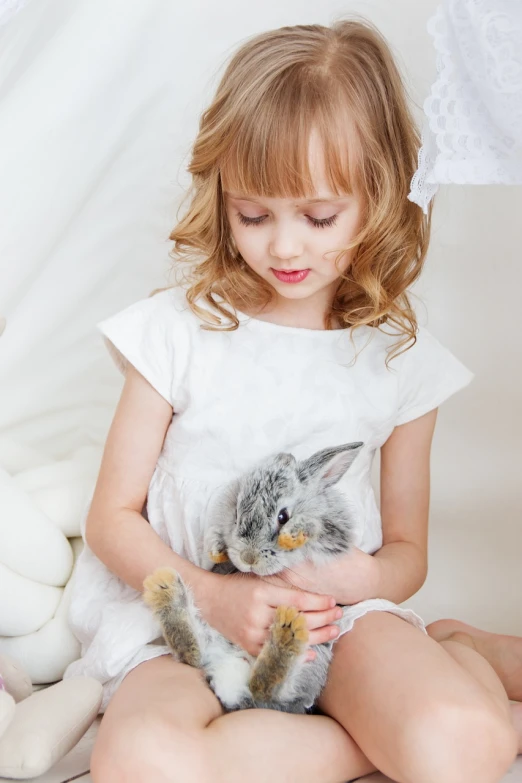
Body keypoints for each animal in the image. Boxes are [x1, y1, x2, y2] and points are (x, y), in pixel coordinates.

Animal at [142, 440, 362, 716]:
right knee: (194, 657)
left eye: (283, 516)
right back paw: (166, 591)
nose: (248, 558)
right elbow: (216, 530)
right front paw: (216, 549)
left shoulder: (336, 534)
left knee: (270, 691)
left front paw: (294, 534)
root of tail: (234, 684)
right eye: (237, 514)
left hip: (314, 660)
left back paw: (287, 632)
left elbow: (317, 525)